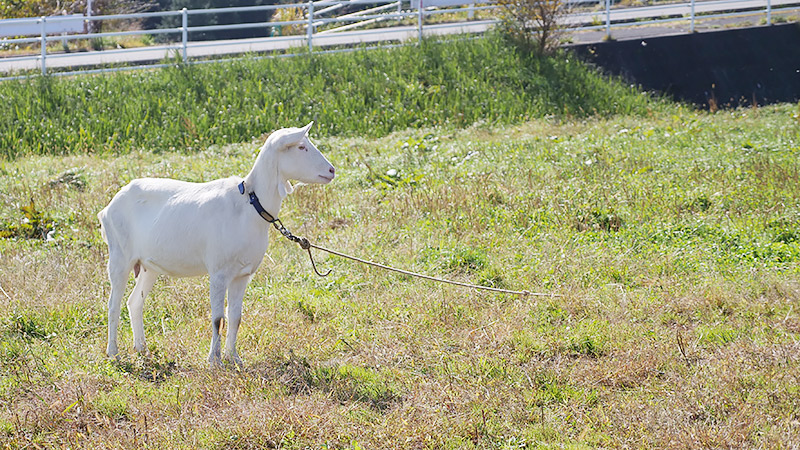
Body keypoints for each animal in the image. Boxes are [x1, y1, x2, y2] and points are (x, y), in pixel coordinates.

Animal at [97, 122, 334, 366]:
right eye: (301, 146)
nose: (331, 171)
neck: (250, 204)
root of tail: (108, 208)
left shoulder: (242, 274)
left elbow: (235, 317)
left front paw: (235, 358)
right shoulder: (219, 272)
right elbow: (218, 318)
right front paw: (215, 360)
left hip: (147, 265)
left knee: (134, 302)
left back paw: (142, 348)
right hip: (119, 255)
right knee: (113, 304)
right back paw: (113, 352)